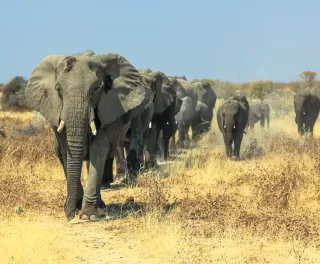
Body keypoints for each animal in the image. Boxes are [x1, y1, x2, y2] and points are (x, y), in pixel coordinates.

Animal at [25, 50, 154, 221]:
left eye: (95, 89)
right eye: (58, 89)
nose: (69, 215)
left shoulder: (108, 108)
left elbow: (98, 150)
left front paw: (89, 215)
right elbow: (67, 152)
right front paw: (75, 208)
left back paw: (100, 206)